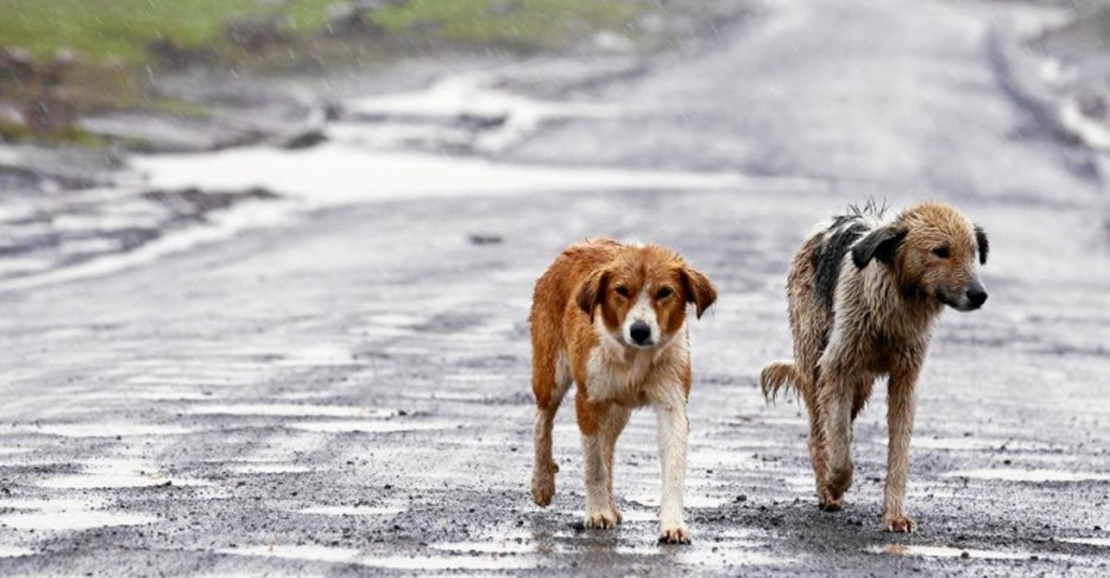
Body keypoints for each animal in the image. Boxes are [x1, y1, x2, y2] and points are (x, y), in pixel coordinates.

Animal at [530, 236, 719, 543]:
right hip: (551, 375)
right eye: (621, 290)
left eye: (665, 292)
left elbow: (673, 467)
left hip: (619, 410)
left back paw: (611, 504)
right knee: (542, 422)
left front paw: (673, 524)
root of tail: (578, 245)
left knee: (607, 445)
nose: (640, 330)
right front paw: (597, 513)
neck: (634, 358)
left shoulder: (672, 403)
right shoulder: (589, 400)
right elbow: (593, 465)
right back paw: (542, 482)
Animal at [763, 203, 990, 532]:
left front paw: (895, 515)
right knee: (819, 433)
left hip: (860, 385)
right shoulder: (836, 368)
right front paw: (835, 482)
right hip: (816, 364)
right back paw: (826, 490)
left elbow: (898, 454)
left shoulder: (905, 380)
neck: (896, 306)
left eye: (973, 252)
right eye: (941, 251)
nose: (979, 294)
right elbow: (839, 449)